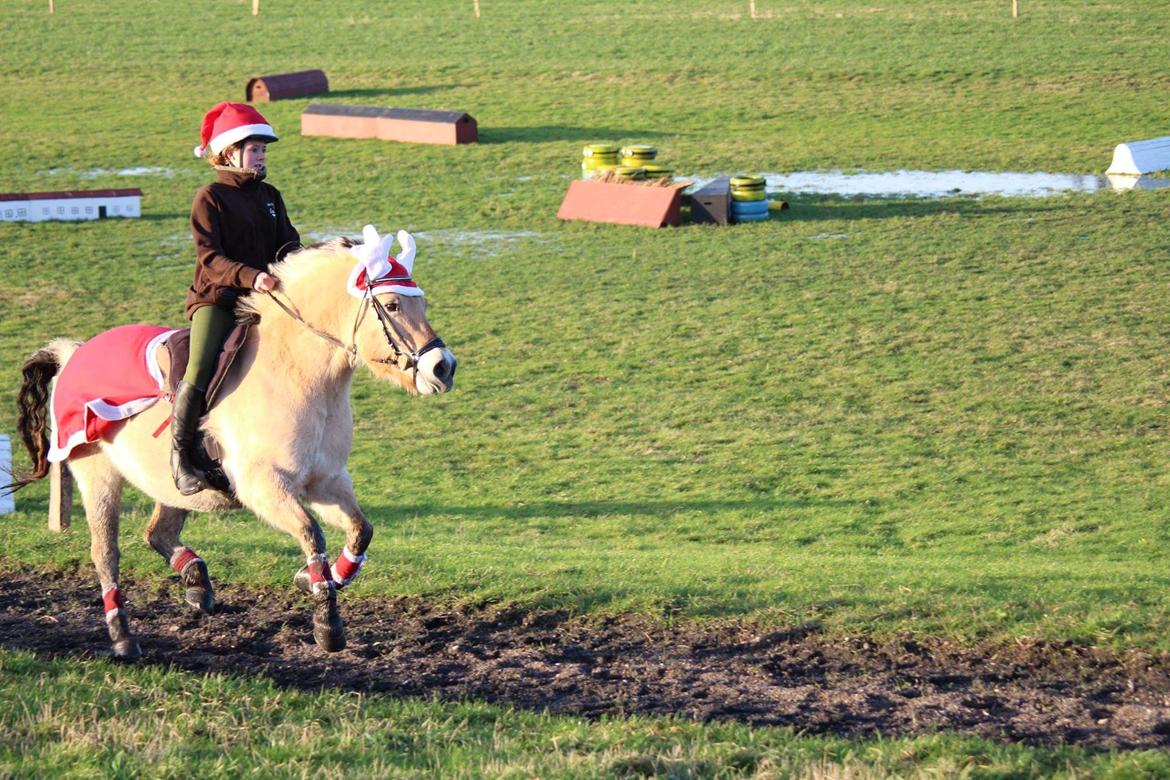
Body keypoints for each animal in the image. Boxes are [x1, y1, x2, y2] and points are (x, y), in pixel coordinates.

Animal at [5, 226, 457, 658]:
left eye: (422, 305)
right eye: (393, 306)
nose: (443, 367)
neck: (298, 374)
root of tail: (72, 354)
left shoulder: (326, 481)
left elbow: (361, 531)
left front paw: (309, 580)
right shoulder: (264, 487)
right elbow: (311, 534)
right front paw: (327, 625)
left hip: (170, 485)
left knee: (157, 533)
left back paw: (196, 582)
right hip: (98, 476)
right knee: (106, 554)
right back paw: (123, 637)